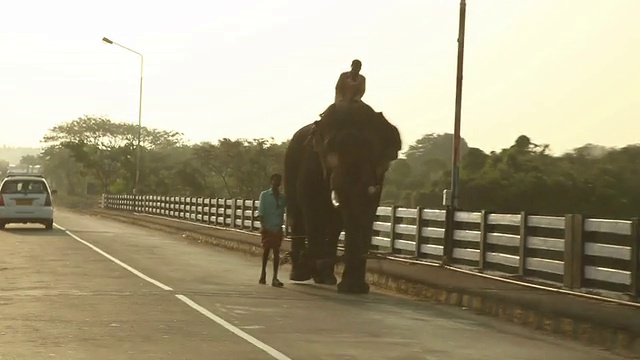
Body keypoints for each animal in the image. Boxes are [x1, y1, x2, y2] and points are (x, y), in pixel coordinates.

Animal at [284, 100, 400, 292]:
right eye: (332, 149)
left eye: (372, 151)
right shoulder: (311, 163)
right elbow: (312, 206)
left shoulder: (379, 174)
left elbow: (367, 208)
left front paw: (354, 289)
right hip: (289, 167)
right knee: (298, 215)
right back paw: (302, 274)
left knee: (334, 225)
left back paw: (325, 277)